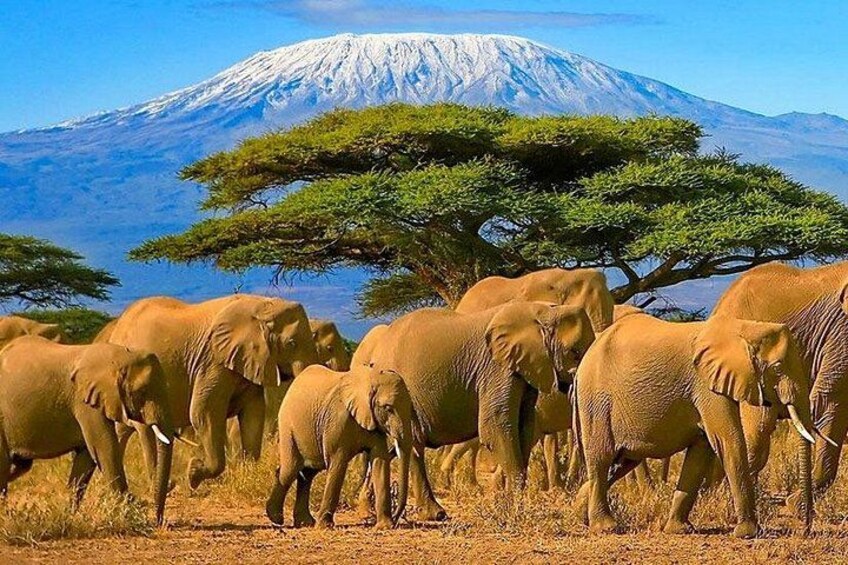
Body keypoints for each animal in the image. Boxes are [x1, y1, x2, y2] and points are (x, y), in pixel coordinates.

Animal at [0, 336, 174, 523]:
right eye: (141, 391)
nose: (159, 521)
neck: (120, 357)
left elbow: (86, 457)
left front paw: (68, 516)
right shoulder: (85, 404)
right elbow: (104, 447)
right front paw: (129, 516)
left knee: (20, 465)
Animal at [99, 294, 319, 489]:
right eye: (291, 343)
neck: (264, 304)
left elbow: (253, 414)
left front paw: (248, 474)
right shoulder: (213, 361)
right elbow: (203, 413)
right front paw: (193, 475)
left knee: (122, 430)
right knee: (144, 430)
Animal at [266, 364, 413, 529]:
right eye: (388, 408)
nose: (397, 518)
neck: (370, 379)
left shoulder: (373, 421)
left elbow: (379, 462)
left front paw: (384, 526)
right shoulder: (337, 420)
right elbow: (338, 464)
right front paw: (324, 526)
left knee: (307, 474)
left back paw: (305, 522)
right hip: (287, 426)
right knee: (290, 470)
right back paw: (276, 518)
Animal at [359, 302, 595, 520]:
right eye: (574, 353)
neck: (544, 310)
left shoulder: (524, 370)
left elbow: (524, 429)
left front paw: (506, 506)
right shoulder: (496, 369)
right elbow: (495, 427)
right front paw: (513, 513)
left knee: (405, 447)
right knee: (409, 445)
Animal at [575, 312, 817, 538]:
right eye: (777, 369)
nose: (805, 528)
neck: (744, 328)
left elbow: (701, 450)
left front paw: (679, 530)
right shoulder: (705, 385)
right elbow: (728, 441)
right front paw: (749, 533)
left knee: (621, 462)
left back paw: (579, 513)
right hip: (596, 400)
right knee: (602, 458)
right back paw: (605, 527)